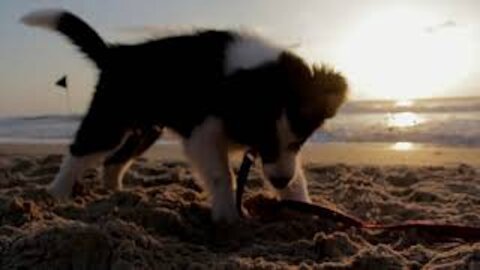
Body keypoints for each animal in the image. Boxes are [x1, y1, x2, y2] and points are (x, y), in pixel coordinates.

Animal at [22, 9, 348, 223]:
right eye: (261, 140)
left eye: (299, 142)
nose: (279, 182)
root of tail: (114, 54)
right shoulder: (202, 134)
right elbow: (222, 175)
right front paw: (228, 216)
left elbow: (296, 176)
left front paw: (300, 205)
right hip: (110, 120)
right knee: (80, 151)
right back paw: (57, 194)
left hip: (145, 130)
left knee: (113, 161)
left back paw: (118, 196)